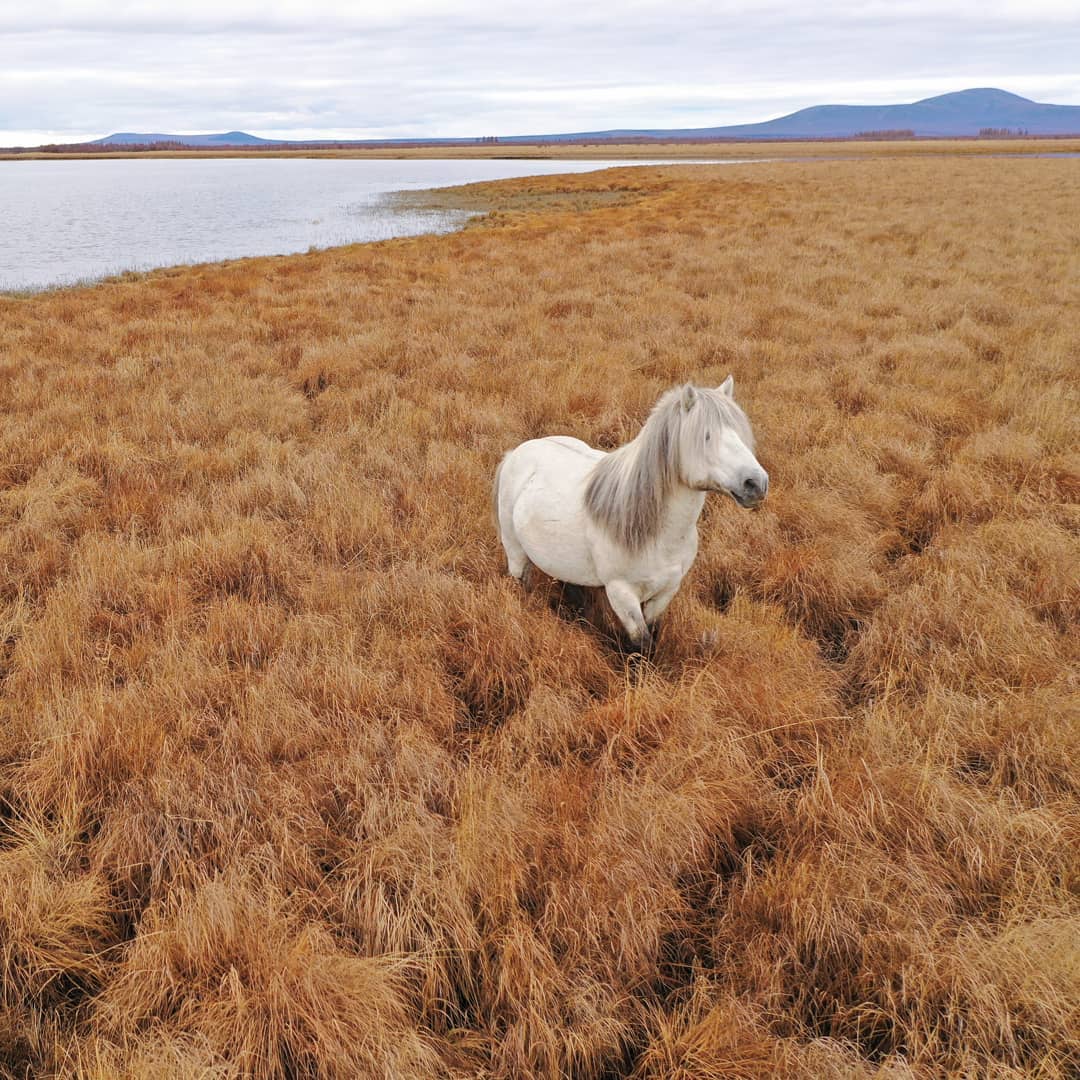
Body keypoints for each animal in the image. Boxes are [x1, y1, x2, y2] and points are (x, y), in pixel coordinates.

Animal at [496, 380, 768, 648]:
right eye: (706, 436)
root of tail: (516, 452)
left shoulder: (667, 590)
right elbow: (641, 644)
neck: (655, 532)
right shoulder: (621, 593)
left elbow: (654, 634)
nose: (756, 483)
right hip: (515, 552)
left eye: (740, 433)